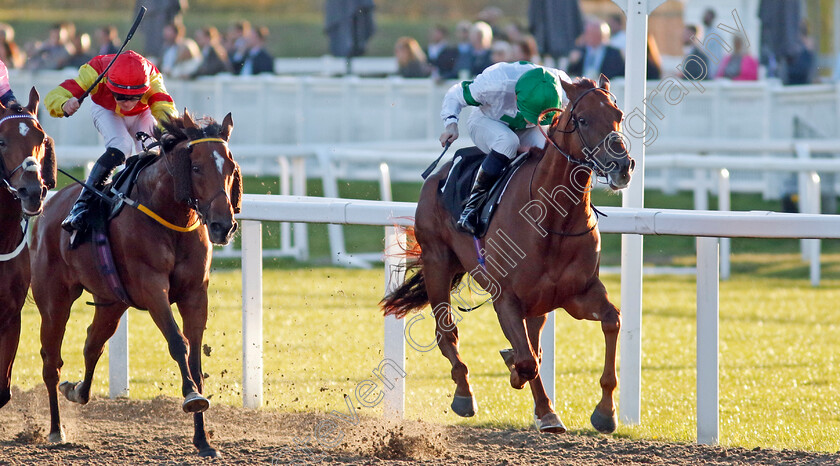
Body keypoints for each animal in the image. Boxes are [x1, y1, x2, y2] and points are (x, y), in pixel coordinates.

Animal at [29, 109, 240, 456]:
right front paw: (192, 397)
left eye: (231, 168)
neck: (170, 215)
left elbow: (195, 359)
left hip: (112, 302)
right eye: (196, 167)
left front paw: (203, 441)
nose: (224, 225)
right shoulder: (152, 287)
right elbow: (177, 341)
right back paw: (56, 429)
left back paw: (77, 390)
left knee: (92, 344)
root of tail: (51, 208)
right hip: (53, 299)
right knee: (51, 361)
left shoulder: (195, 293)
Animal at [384, 74, 632, 436]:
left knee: (534, 342)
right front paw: (513, 366)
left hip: (538, 301)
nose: (623, 166)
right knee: (447, 332)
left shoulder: (579, 293)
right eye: (584, 119)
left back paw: (546, 411)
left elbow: (611, 321)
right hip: (437, 262)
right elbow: (527, 361)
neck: (553, 218)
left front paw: (605, 412)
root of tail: (438, 174)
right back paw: (465, 394)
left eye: (618, 115)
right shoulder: (507, 299)